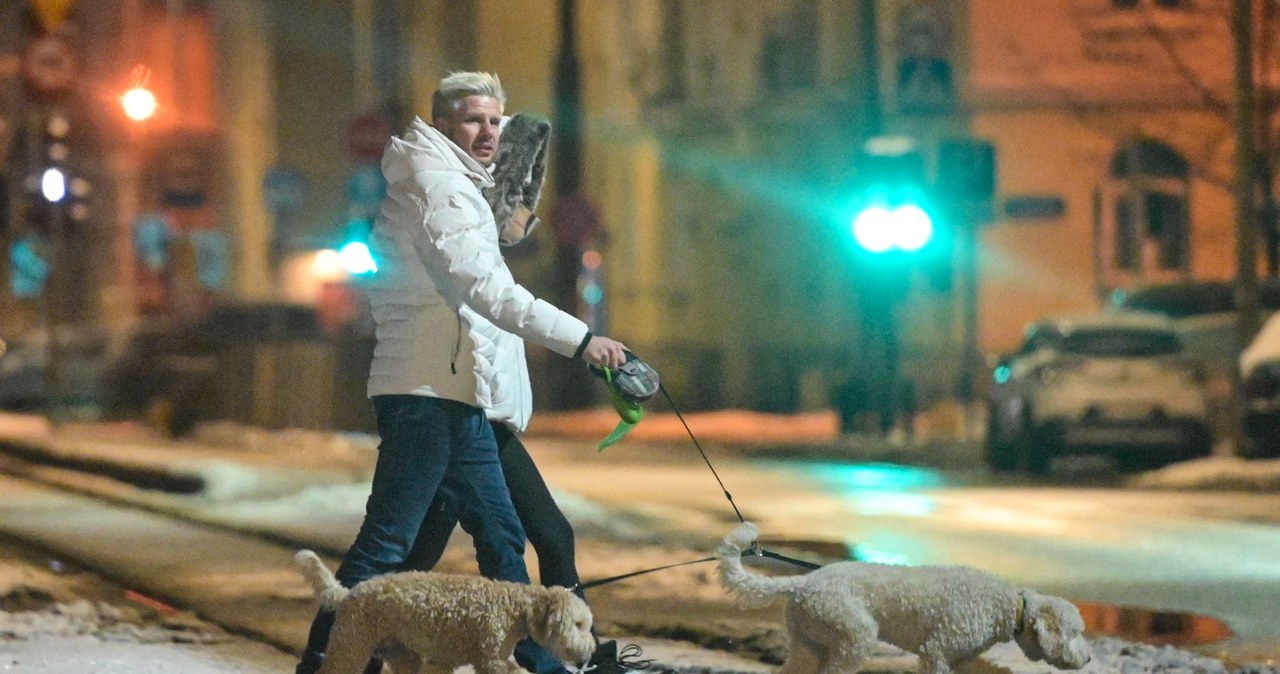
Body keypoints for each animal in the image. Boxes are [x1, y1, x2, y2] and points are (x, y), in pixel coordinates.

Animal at [296, 552, 596, 670]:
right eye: (579, 624)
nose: (591, 651)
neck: (515, 608)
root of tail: (347, 594)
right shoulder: (491, 661)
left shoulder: (444, 662)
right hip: (350, 649)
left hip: (404, 656)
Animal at [721, 524, 1090, 674]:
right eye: (1074, 632)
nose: (1087, 659)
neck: (1010, 607)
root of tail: (804, 582)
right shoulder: (936, 653)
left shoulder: (957, 660)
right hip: (853, 637)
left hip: (810, 645)